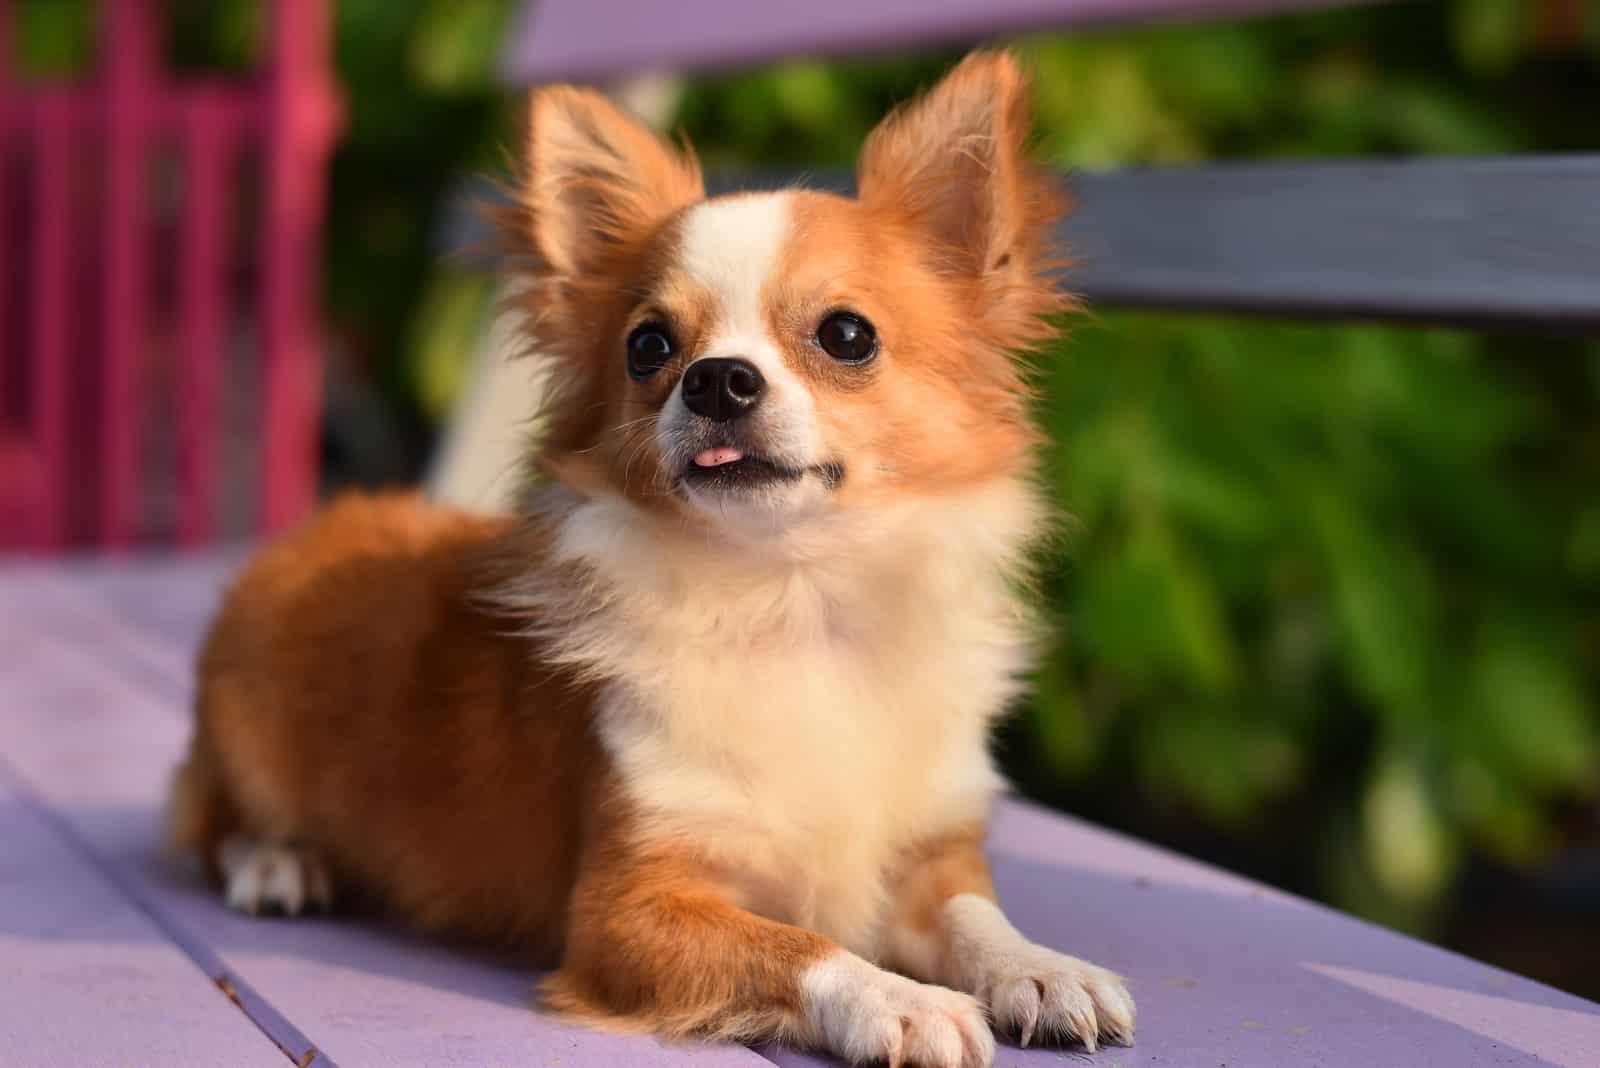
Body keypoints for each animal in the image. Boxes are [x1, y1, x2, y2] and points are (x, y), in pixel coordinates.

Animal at [168, 51, 1132, 1068]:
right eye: (648, 347)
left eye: (847, 335)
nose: (716, 379)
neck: (794, 596)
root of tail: (318, 528)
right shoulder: (626, 910)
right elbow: (803, 945)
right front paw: (901, 1000)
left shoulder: (927, 855)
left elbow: (975, 916)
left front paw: (1042, 967)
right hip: (246, 737)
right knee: (212, 818)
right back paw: (280, 862)